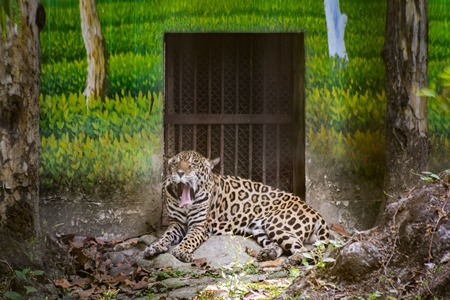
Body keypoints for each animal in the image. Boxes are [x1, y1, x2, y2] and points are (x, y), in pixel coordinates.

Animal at [145, 151, 330, 264]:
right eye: (175, 164)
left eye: (194, 164)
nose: (180, 173)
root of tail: (314, 212)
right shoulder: (176, 223)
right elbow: (166, 236)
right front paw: (155, 246)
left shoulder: (199, 226)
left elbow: (189, 240)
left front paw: (181, 251)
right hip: (260, 229)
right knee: (280, 245)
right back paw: (268, 253)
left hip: (275, 224)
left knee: (303, 248)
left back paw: (294, 260)